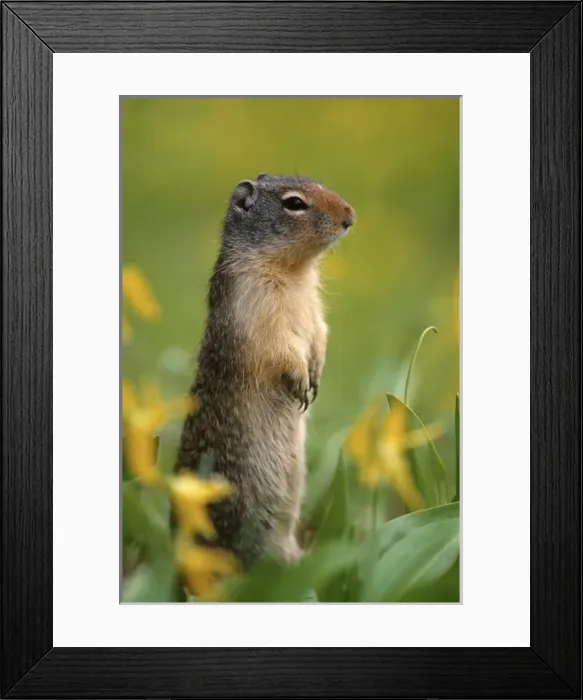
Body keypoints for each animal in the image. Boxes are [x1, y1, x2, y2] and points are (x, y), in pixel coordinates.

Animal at [174, 173, 356, 568]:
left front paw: (316, 375)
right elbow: (279, 348)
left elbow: (320, 332)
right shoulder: (255, 307)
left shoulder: (313, 309)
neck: (295, 272)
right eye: (294, 203)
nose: (350, 216)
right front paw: (301, 381)